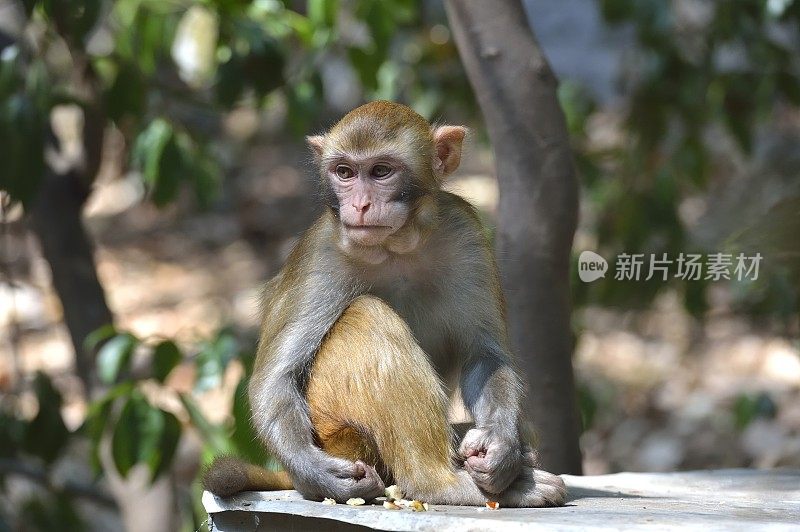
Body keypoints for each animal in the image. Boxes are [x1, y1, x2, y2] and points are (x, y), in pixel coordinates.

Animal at [206, 98, 568, 508]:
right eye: (344, 172)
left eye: (381, 171)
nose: (361, 204)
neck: (395, 247)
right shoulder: (320, 254)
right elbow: (275, 380)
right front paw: (322, 475)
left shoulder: (466, 234)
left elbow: (485, 354)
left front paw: (501, 448)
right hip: (334, 427)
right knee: (368, 316)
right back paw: (447, 484)